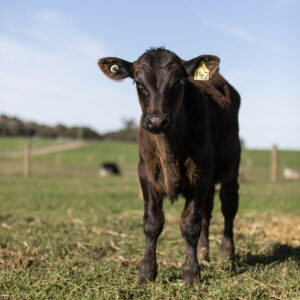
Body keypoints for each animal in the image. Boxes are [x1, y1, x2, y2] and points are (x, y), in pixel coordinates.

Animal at [98, 47, 241, 284]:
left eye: (178, 80)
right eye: (138, 82)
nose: (157, 120)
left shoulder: (200, 174)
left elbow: (190, 224)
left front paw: (191, 273)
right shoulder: (146, 173)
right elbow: (152, 223)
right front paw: (146, 272)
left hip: (231, 167)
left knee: (228, 206)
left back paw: (226, 252)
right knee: (207, 211)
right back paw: (204, 250)